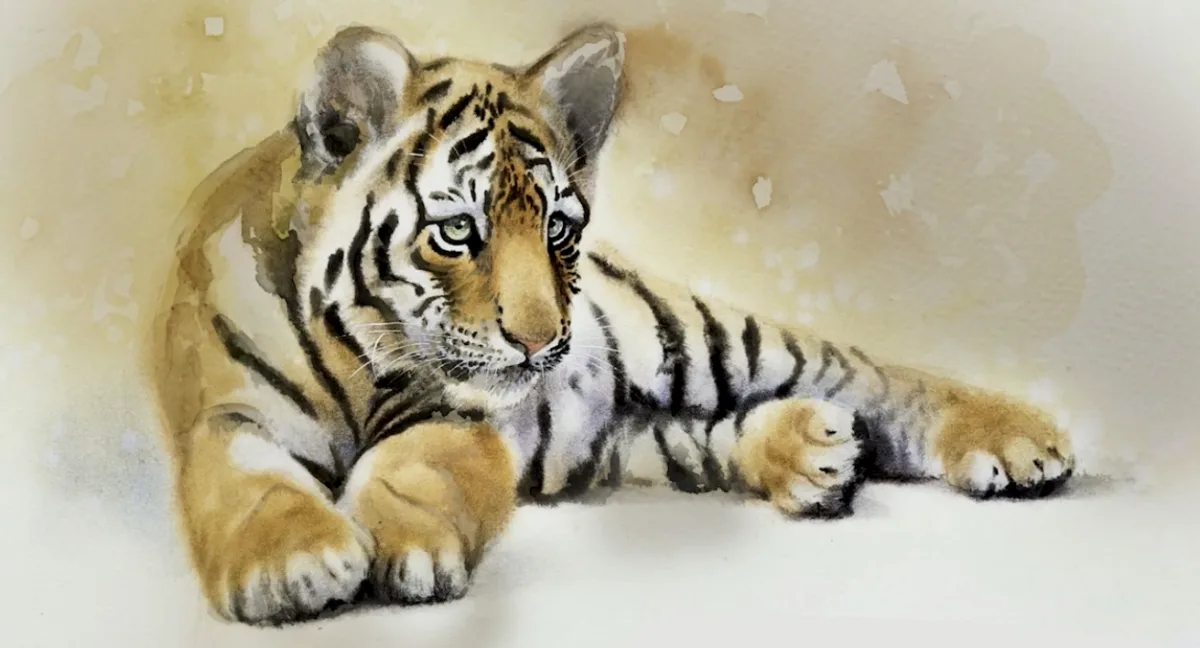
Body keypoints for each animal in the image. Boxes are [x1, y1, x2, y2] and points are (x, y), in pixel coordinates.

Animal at [148, 23, 1076, 626]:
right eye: (458, 231)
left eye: (558, 227)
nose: (540, 340)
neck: (356, 354)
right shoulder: (226, 415)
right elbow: (246, 483)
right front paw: (295, 564)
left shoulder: (457, 418)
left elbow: (416, 466)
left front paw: (396, 547)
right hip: (611, 448)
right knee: (709, 434)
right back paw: (813, 454)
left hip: (686, 333)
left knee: (865, 372)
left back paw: (1017, 440)